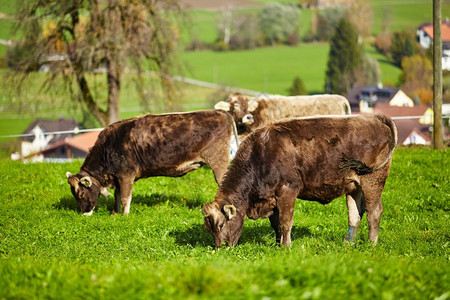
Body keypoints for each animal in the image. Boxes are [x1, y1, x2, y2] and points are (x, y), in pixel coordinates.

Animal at [66, 110, 239, 216]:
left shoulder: (126, 174)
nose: (84, 213)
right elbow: (117, 195)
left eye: (81, 194)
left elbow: (125, 197)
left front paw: (125, 215)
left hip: (218, 162)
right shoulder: (118, 177)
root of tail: (221, 112)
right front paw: (114, 213)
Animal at [202, 113, 396, 247]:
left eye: (221, 225)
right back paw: (348, 243)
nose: (221, 247)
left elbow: (286, 222)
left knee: (374, 212)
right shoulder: (273, 198)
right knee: (355, 215)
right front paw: (277, 244)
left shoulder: (287, 191)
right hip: (353, 186)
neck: (261, 154)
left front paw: (286, 247)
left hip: (373, 180)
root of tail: (374, 117)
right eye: (208, 228)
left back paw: (371, 244)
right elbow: (276, 224)